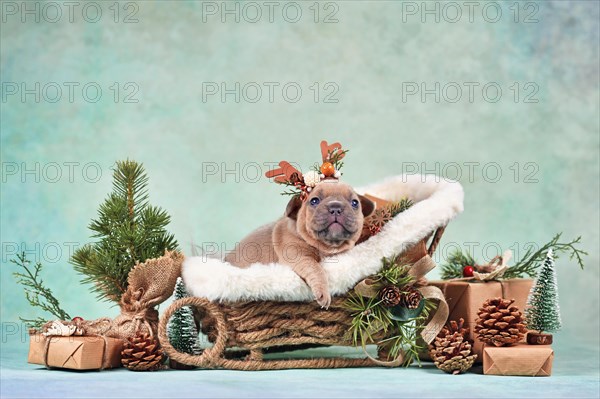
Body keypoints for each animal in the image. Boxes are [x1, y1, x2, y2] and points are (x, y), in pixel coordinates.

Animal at [225, 181, 376, 310]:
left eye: (355, 203)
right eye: (314, 201)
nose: (336, 207)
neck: (325, 247)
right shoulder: (300, 257)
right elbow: (316, 268)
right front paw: (323, 292)